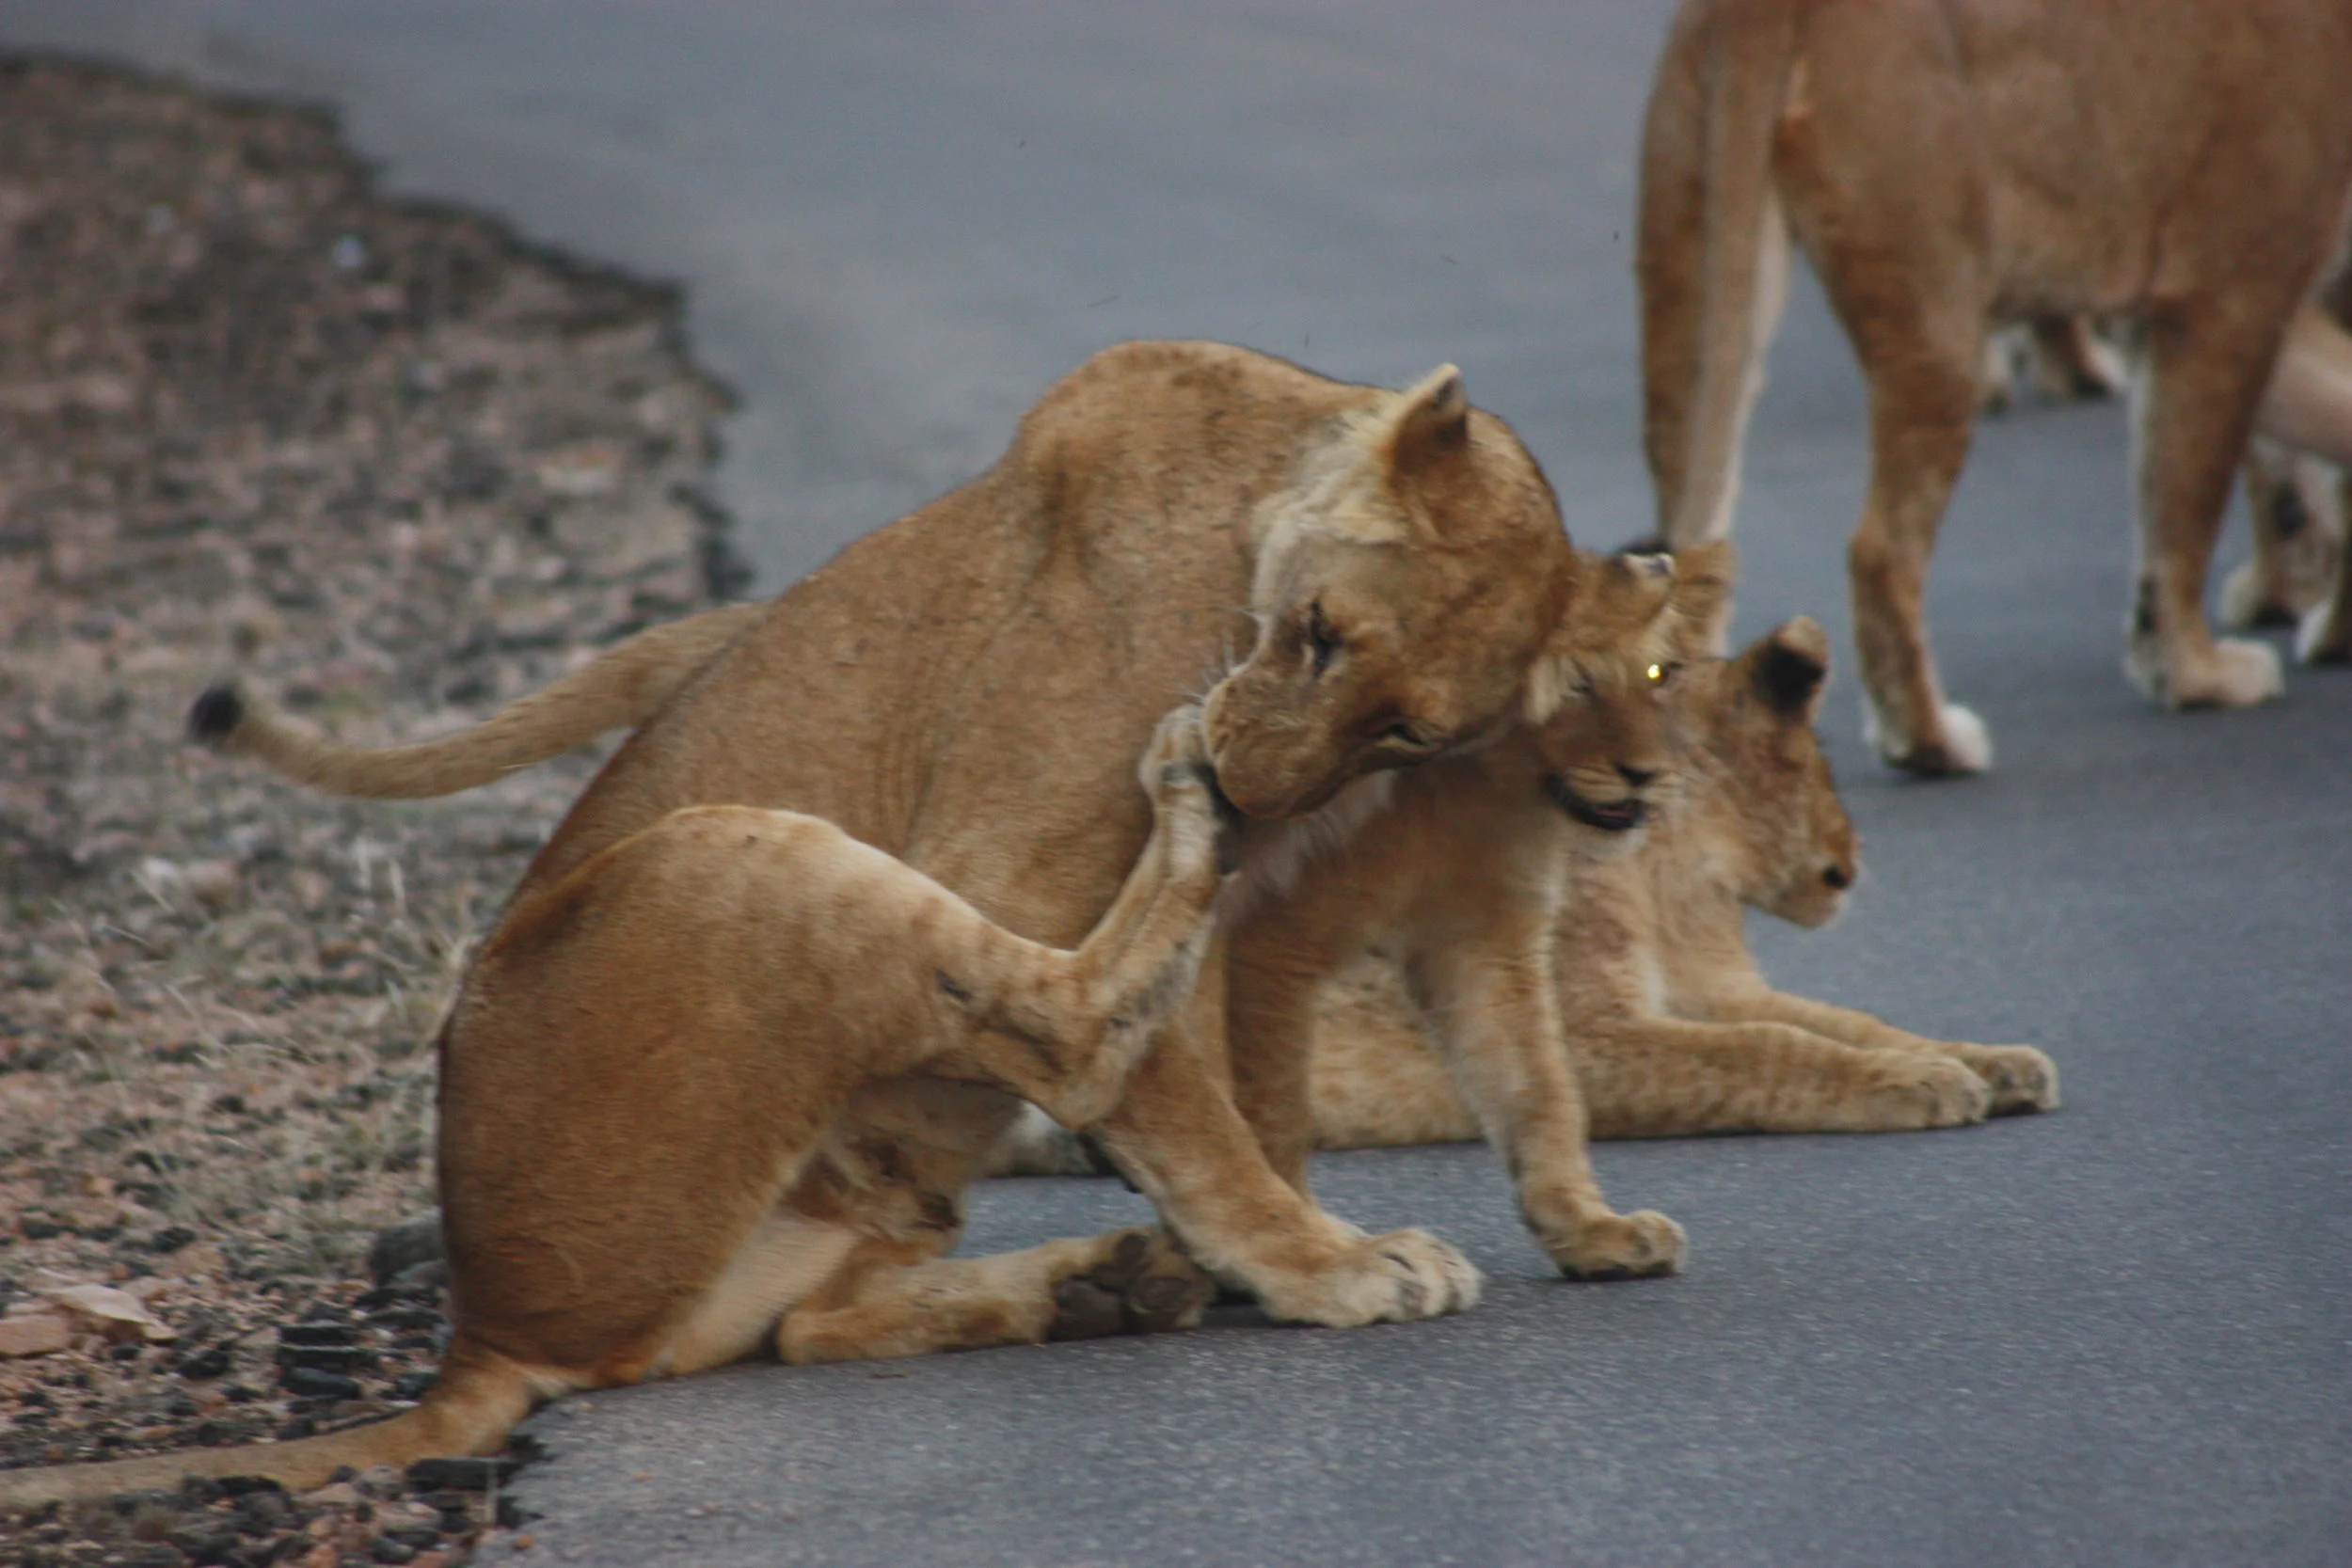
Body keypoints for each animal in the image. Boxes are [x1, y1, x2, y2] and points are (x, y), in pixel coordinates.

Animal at [1, 708, 1239, 1507]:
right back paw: (1192, 778)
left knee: (821, 1314)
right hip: (733, 860)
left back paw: (1109, 1285)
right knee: (1072, 1039)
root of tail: (488, 1327)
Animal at [1639, 0, 2352, 773]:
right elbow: (2184, 512)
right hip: (1940, 309)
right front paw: (2198, 675)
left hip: (1689, 272)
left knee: (1686, 542)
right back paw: (1931, 743)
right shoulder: (2233, 295)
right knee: (1882, 553)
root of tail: (1755, 10)